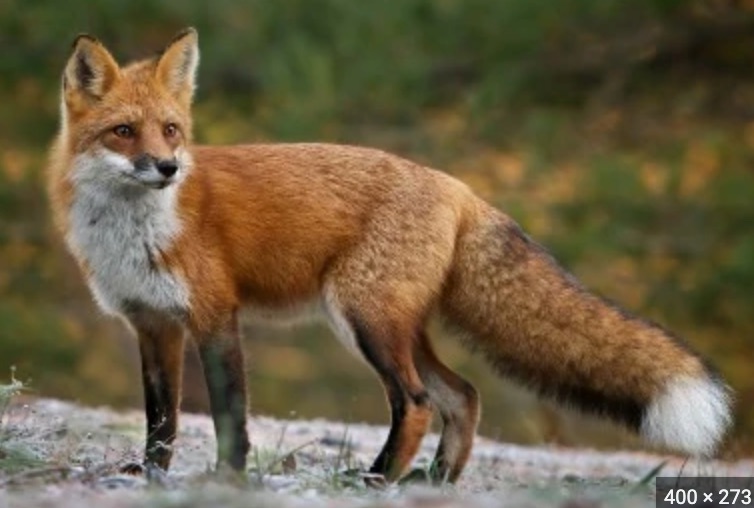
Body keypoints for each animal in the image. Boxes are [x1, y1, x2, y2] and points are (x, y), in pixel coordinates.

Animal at [47, 27, 732, 484]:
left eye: (172, 130)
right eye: (123, 132)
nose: (167, 168)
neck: (133, 233)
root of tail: (460, 188)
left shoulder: (216, 315)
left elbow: (229, 415)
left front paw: (226, 480)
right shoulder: (152, 324)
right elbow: (161, 419)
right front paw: (150, 477)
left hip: (366, 322)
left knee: (420, 402)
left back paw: (377, 479)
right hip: (393, 326)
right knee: (464, 395)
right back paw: (434, 483)